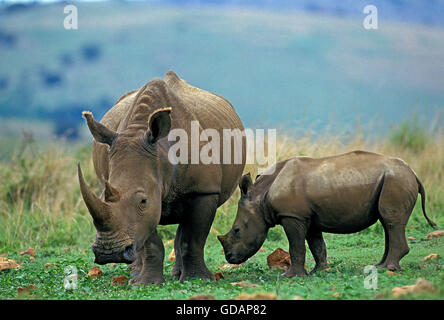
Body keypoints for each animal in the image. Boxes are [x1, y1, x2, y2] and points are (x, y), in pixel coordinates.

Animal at [79, 71, 246, 284]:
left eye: (143, 200)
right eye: (101, 198)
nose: (109, 253)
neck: (162, 154)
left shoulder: (203, 190)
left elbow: (192, 239)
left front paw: (198, 279)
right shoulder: (149, 201)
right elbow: (150, 240)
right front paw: (145, 283)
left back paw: (176, 274)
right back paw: (135, 275)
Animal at [219, 151, 438, 276]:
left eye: (237, 230)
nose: (229, 258)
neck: (261, 196)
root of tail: (414, 173)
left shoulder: (292, 216)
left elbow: (296, 246)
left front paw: (290, 276)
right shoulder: (307, 217)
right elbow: (317, 245)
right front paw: (319, 271)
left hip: (396, 180)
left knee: (391, 221)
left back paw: (388, 269)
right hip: (393, 180)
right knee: (388, 223)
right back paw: (379, 266)